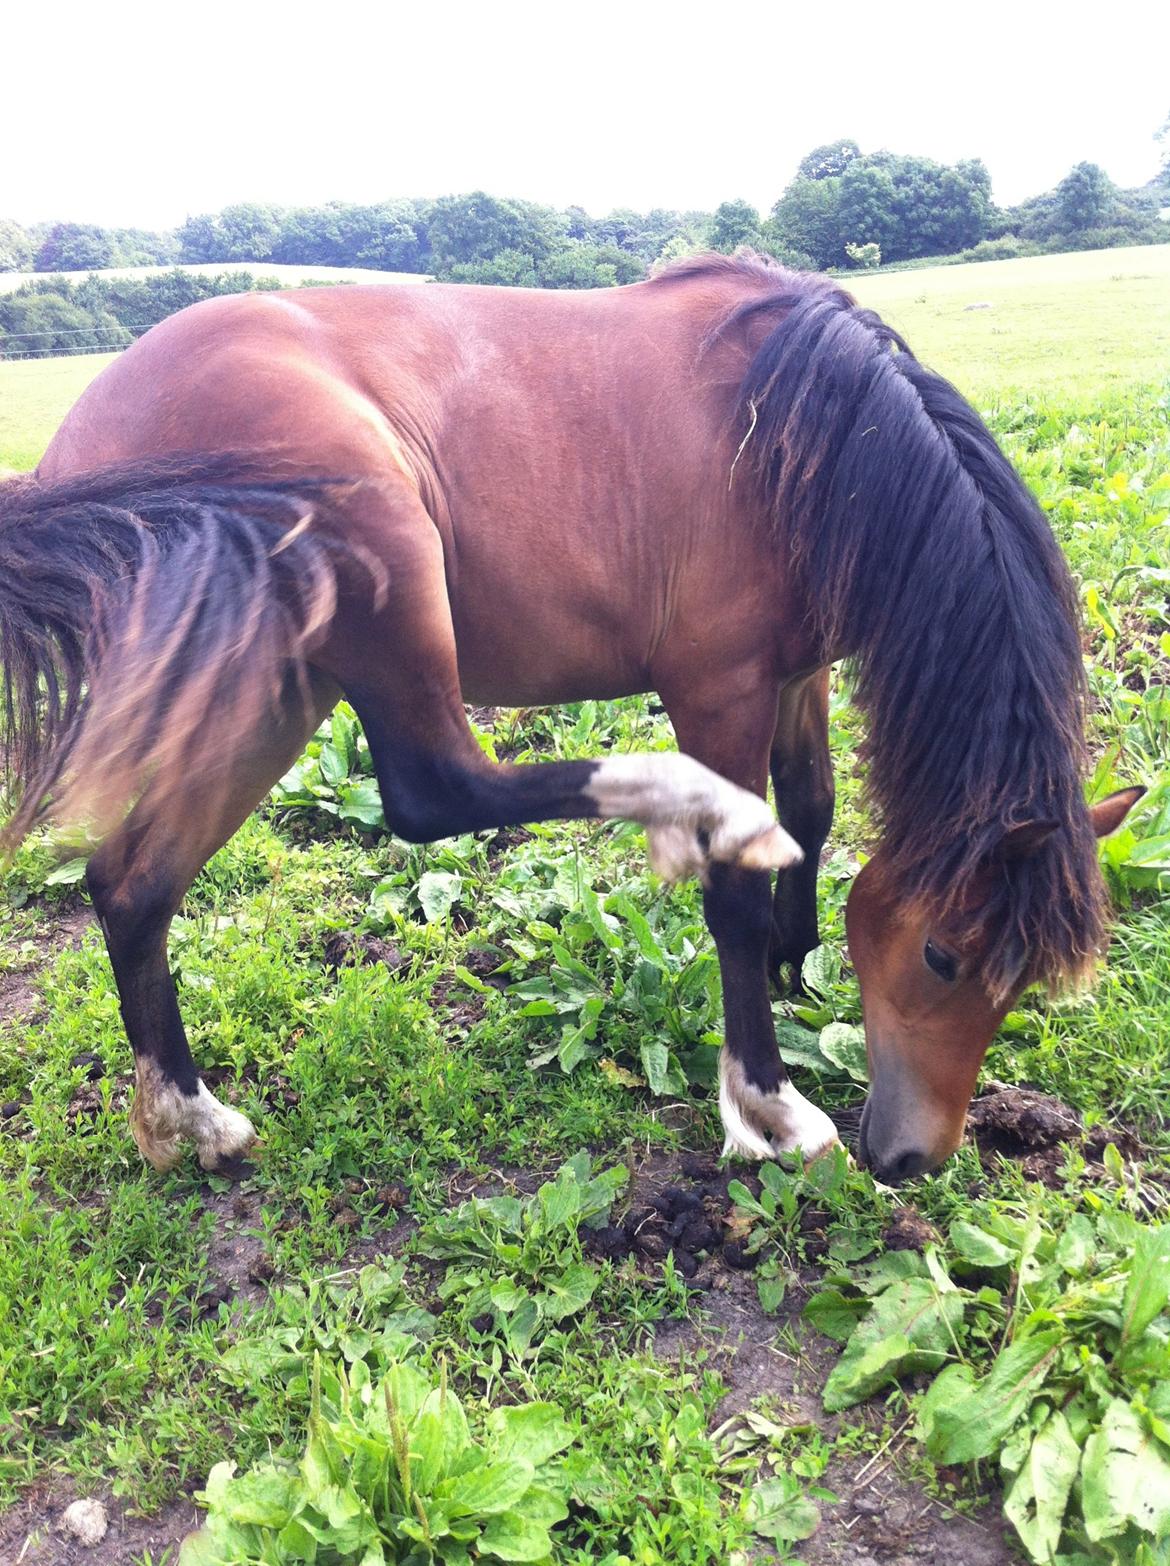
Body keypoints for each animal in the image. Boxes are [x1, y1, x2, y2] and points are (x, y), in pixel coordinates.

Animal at [0, 259, 1140, 1183]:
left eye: (1022, 980)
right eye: (944, 957)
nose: (913, 1159)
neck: (802, 440)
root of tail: (77, 448)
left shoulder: (797, 677)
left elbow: (815, 812)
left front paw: (795, 957)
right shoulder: (720, 687)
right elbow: (735, 892)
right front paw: (766, 1105)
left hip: (275, 688)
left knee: (133, 885)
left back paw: (187, 1124)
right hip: (382, 569)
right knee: (432, 790)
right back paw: (680, 804)